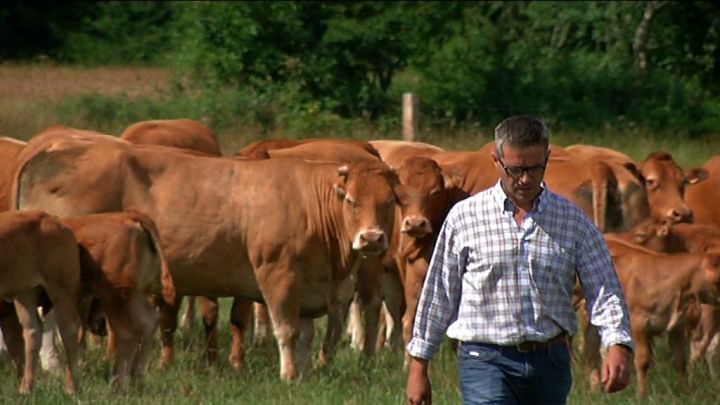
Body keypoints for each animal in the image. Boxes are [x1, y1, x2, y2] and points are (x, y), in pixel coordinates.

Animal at [0, 210, 81, 392]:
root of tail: (52, 219)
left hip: (61, 290)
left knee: (69, 332)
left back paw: (72, 388)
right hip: (25, 294)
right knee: (33, 332)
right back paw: (26, 389)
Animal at [61, 211, 175, 392]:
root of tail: (129, 216)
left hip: (115, 297)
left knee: (126, 334)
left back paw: (117, 387)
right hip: (135, 295)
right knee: (148, 323)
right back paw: (137, 382)